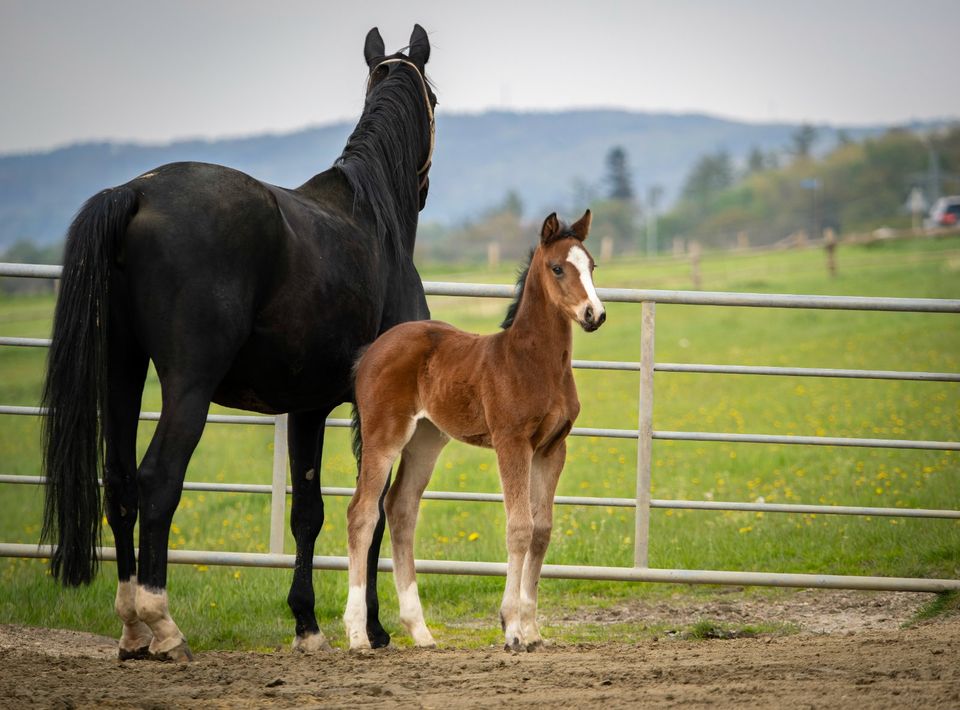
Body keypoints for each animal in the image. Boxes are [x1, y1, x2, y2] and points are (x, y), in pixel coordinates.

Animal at [39, 25, 436, 664]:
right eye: (437, 100)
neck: (374, 225)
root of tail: (134, 194)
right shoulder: (372, 410)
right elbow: (370, 509)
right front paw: (372, 631)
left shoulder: (307, 408)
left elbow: (308, 512)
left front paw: (308, 625)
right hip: (187, 386)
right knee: (157, 481)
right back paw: (164, 626)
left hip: (122, 371)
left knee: (120, 483)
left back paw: (131, 629)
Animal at [342, 210, 604, 652]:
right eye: (557, 268)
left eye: (591, 266)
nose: (594, 314)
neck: (534, 362)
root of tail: (370, 352)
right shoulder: (511, 442)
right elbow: (519, 527)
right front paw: (511, 628)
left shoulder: (552, 448)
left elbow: (542, 529)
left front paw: (533, 630)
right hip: (385, 437)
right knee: (362, 513)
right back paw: (359, 635)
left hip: (425, 440)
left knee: (400, 509)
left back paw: (421, 631)